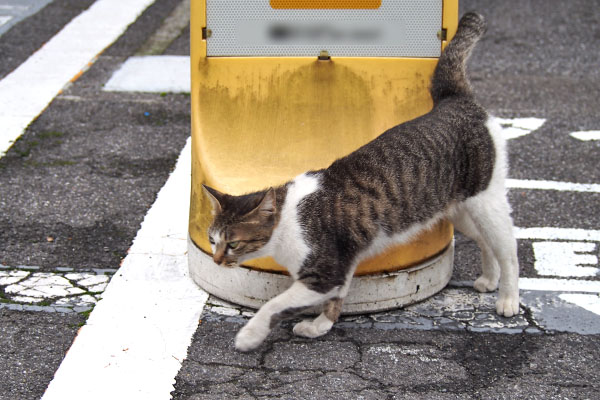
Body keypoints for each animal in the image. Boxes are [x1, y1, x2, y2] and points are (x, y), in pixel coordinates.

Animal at [203, 10, 520, 352]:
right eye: (212, 240)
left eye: (233, 243)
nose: (216, 260)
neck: (287, 221)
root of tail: (454, 100)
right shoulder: (343, 263)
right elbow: (337, 299)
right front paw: (320, 326)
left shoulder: (324, 273)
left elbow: (273, 305)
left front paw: (250, 334)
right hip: (458, 211)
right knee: (485, 241)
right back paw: (489, 279)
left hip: (487, 201)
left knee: (509, 250)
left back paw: (509, 299)